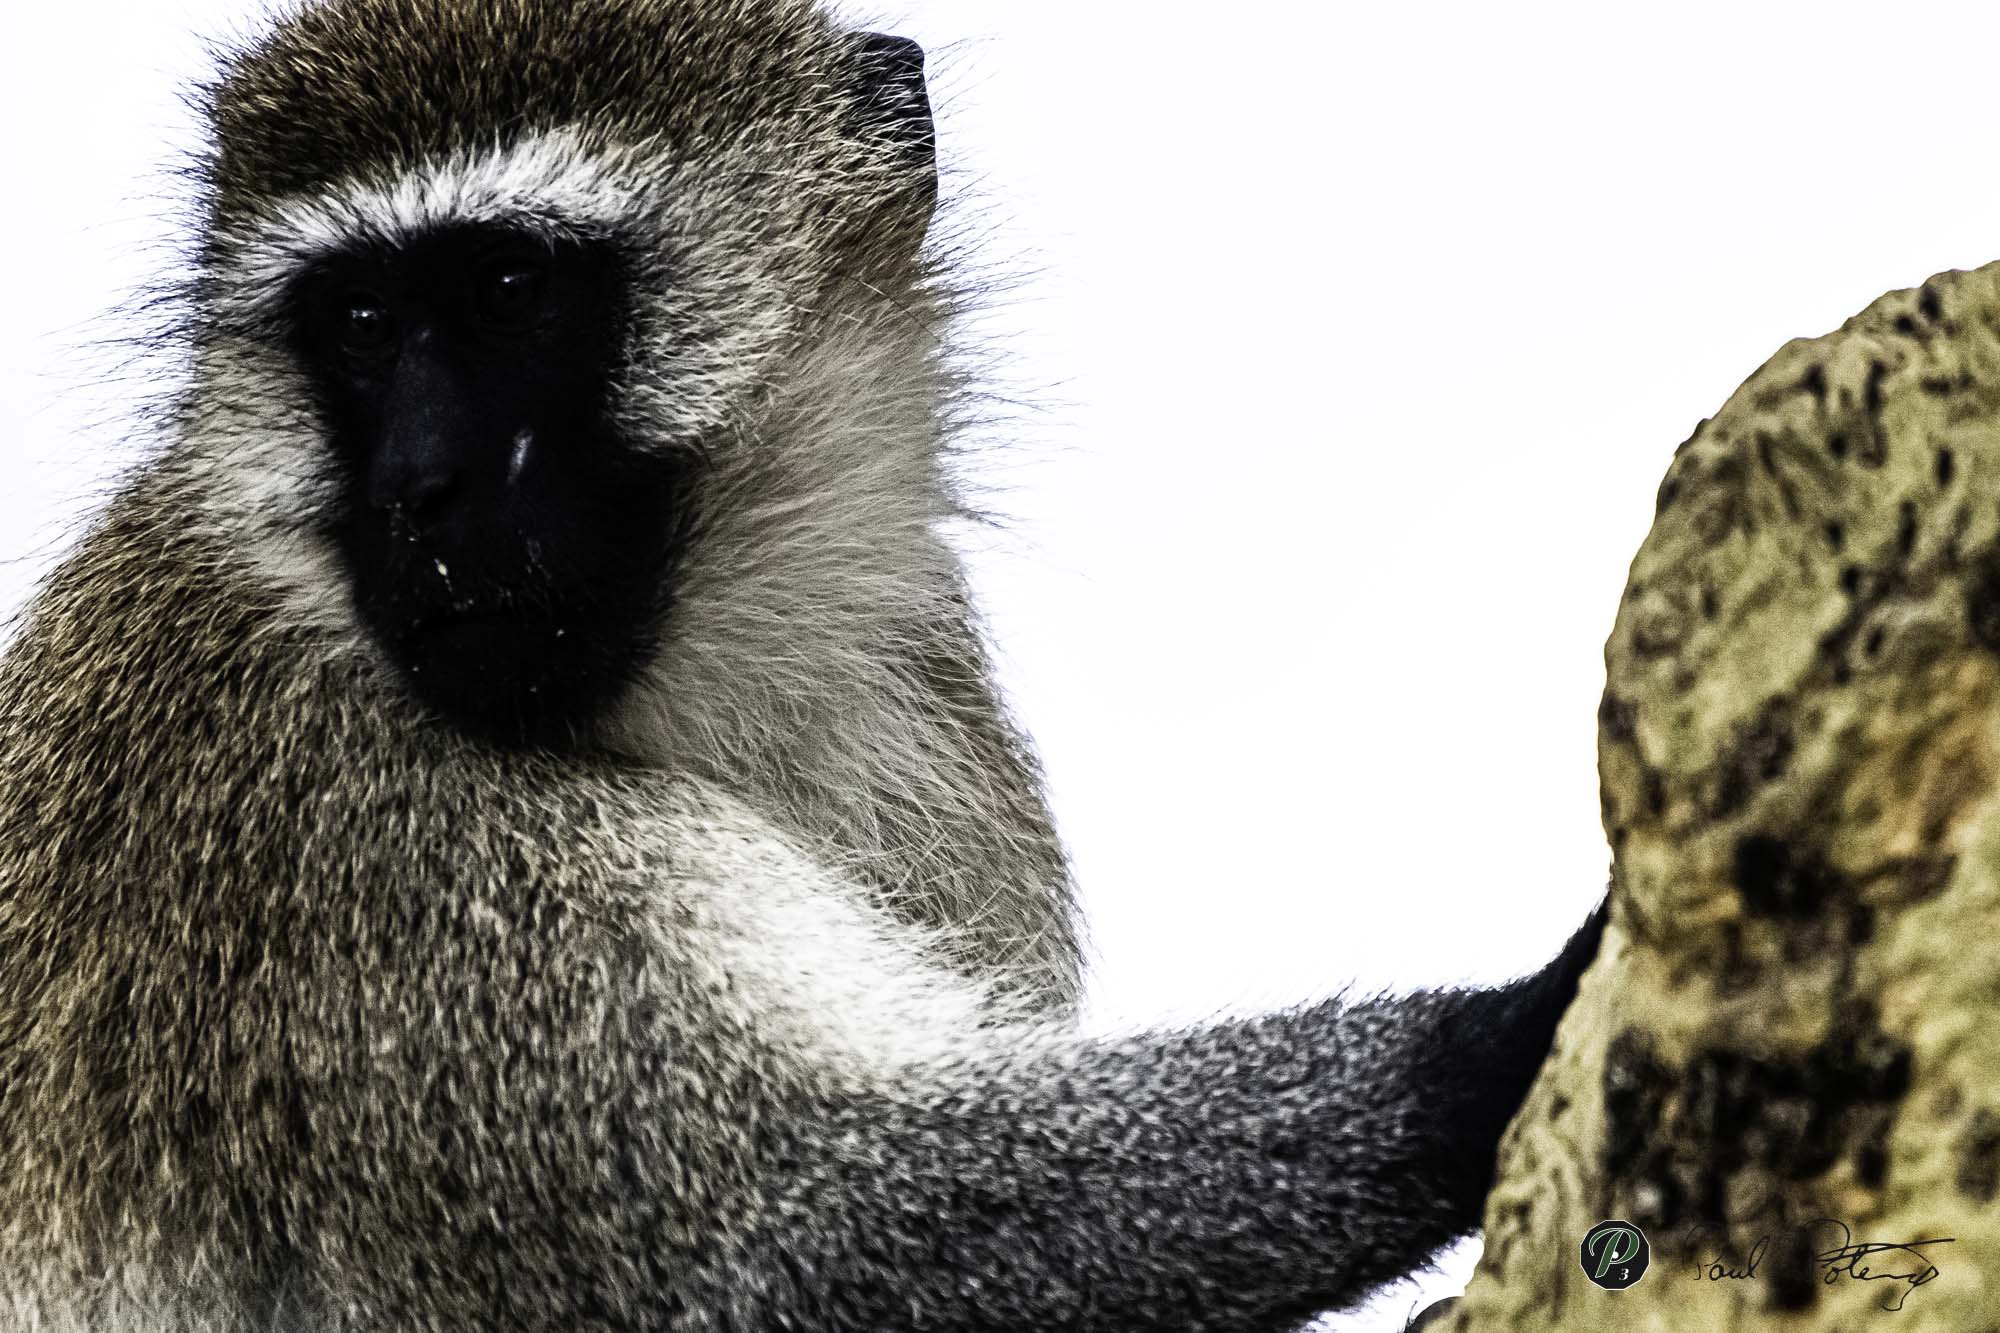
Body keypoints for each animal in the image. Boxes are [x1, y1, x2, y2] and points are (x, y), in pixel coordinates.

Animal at [0, 1, 1607, 1329]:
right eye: (360, 322)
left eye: (509, 288)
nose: (419, 489)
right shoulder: (349, 847)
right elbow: (786, 1237)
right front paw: (1512, 1041)